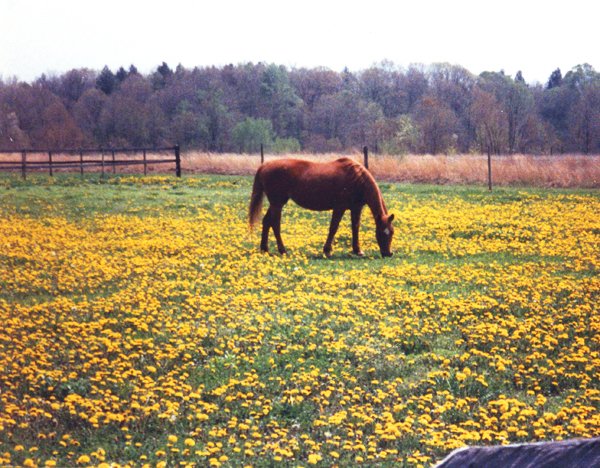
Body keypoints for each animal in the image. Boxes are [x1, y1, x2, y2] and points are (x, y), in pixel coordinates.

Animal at [248, 159, 394, 258]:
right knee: (275, 224)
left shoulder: (356, 208)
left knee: (267, 222)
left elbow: (355, 228)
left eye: (392, 232)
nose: (388, 253)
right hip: (277, 204)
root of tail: (264, 166)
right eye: (382, 232)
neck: (357, 178)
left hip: (275, 204)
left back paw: (264, 249)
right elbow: (333, 228)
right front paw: (327, 250)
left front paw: (357, 250)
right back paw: (283, 250)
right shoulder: (339, 208)